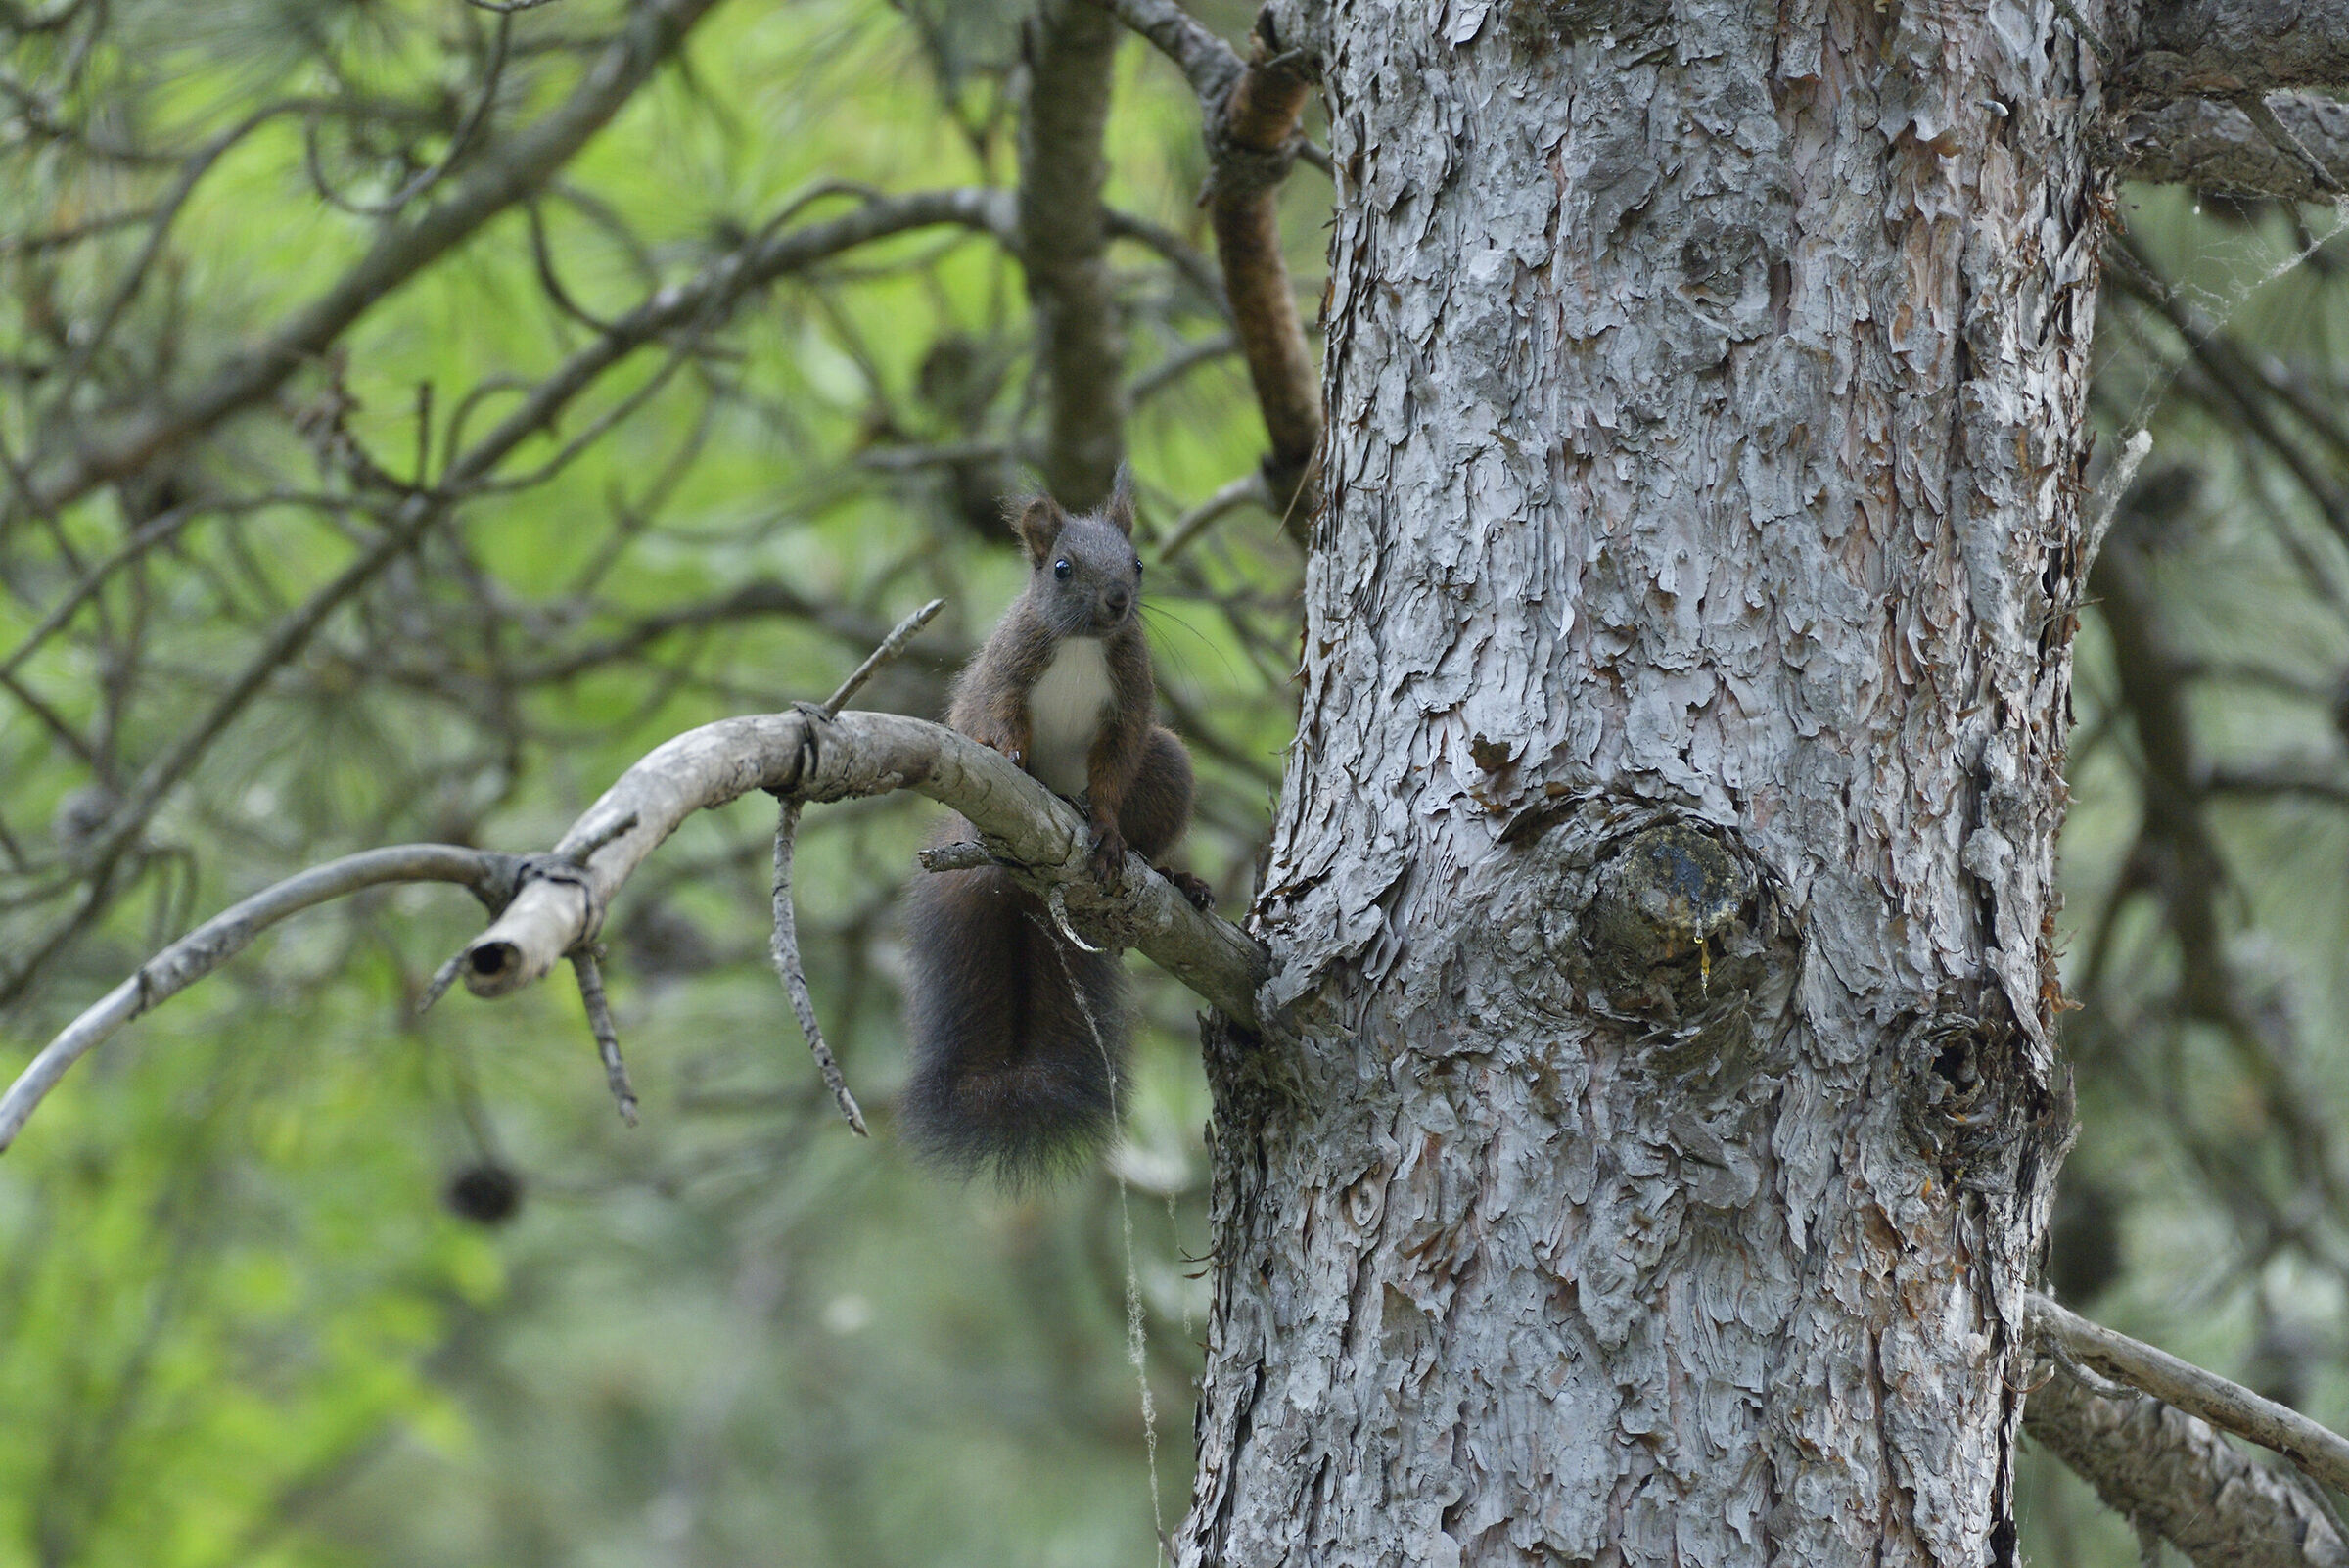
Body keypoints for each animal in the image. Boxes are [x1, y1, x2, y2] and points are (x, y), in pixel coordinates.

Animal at [901, 475, 1212, 1184]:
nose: (1117, 601)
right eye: (1062, 568)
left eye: (1138, 564)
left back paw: (1174, 875)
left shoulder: (1130, 700)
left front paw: (1107, 828)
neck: (1082, 646)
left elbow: (1114, 771)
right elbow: (993, 715)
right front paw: (1010, 755)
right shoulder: (1006, 669)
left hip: (1168, 765)